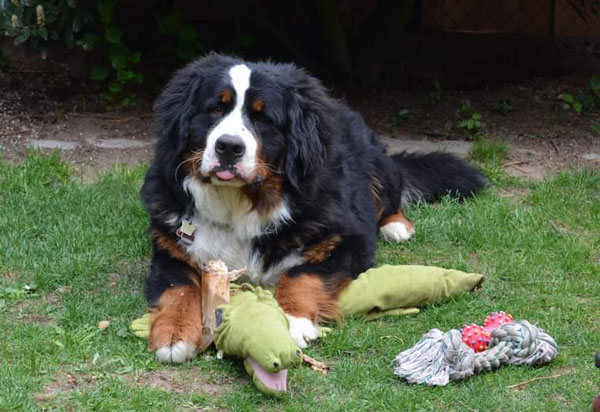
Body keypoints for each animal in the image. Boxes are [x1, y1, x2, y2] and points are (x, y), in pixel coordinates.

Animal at [141, 53, 486, 363]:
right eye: (214, 109)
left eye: (263, 118)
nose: (228, 147)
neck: (240, 203)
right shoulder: (171, 251)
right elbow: (178, 288)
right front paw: (174, 334)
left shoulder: (347, 238)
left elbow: (301, 275)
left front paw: (294, 321)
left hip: (376, 165)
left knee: (391, 195)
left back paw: (397, 225)